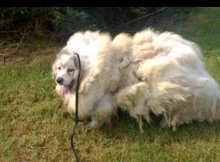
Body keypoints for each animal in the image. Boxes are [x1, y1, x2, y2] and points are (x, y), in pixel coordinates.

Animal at [52, 28, 220, 132]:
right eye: (59, 68)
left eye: (70, 70)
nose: (59, 80)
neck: (89, 71)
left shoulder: (103, 100)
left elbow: (100, 113)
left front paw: (93, 125)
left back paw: (168, 123)